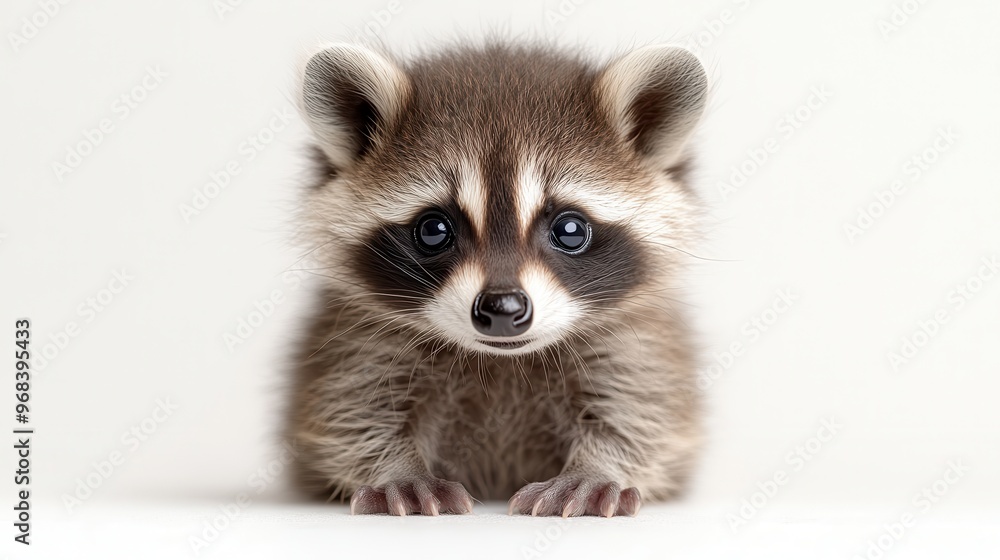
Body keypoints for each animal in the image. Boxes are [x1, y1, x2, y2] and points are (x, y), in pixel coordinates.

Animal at [286, 41, 708, 517]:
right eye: (434, 230)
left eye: (570, 230)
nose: (503, 308)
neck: (502, 359)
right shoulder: (359, 341)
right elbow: (351, 411)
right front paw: (396, 468)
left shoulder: (634, 340)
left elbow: (644, 409)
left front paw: (598, 466)